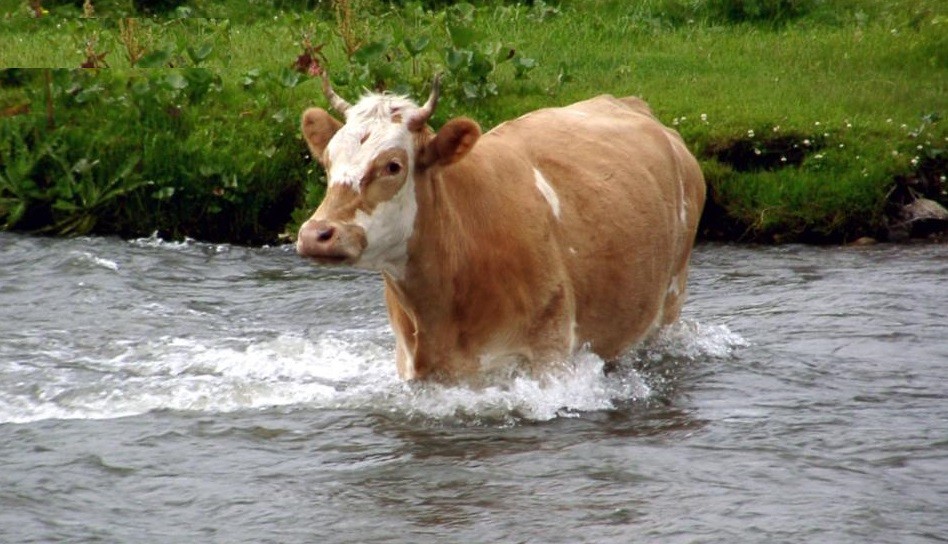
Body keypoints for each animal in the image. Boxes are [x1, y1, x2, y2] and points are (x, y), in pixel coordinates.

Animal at [296, 75, 705, 383]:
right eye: (328, 160)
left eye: (393, 166)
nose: (316, 234)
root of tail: (628, 103)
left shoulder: (548, 357)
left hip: (669, 304)